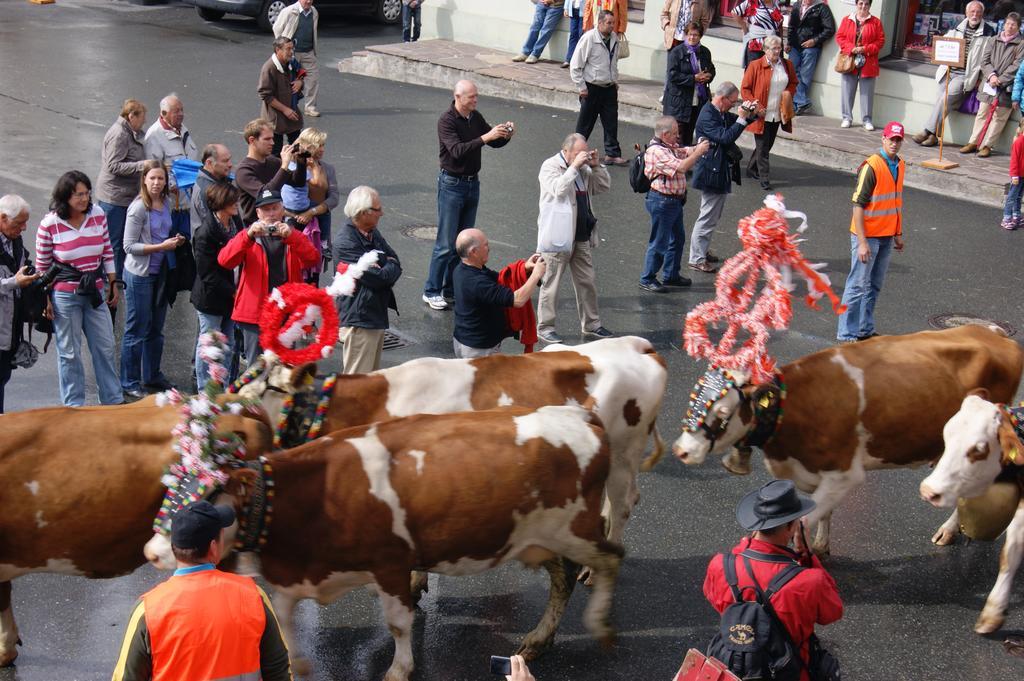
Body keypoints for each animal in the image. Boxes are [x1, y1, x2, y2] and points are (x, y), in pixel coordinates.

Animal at [144, 405, 622, 675]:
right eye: (171, 485)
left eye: (208, 497)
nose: (152, 552)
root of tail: (581, 415)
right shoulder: (297, 573)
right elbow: (282, 616)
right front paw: (299, 663)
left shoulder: (391, 561)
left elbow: (398, 623)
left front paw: (399, 669)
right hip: (535, 537)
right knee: (563, 579)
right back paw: (540, 640)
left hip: (573, 528)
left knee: (609, 558)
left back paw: (599, 624)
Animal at [671, 327, 1024, 557]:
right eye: (693, 398)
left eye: (722, 413)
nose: (680, 451)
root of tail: (996, 334)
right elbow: (823, 512)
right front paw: (821, 547)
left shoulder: (845, 473)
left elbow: (804, 520)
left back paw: (949, 530)